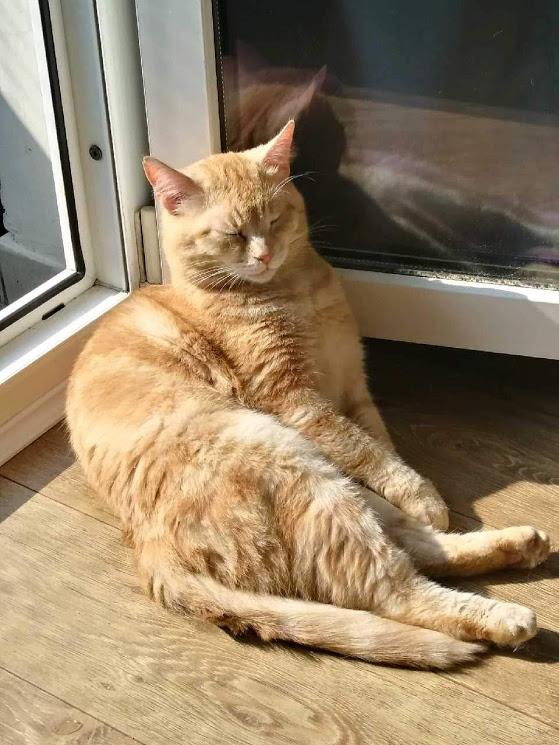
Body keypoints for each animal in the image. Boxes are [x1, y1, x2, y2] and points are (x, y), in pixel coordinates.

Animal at [66, 121, 550, 669]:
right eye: (232, 234)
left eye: (274, 218)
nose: (263, 254)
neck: (294, 290)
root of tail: (148, 548)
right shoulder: (295, 401)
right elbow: (370, 453)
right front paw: (420, 493)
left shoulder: (355, 392)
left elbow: (381, 448)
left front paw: (417, 493)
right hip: (293, 464)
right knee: (399, 589)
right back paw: (508, 617)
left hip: (328, 481)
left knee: (418, 546)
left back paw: (518, 543)